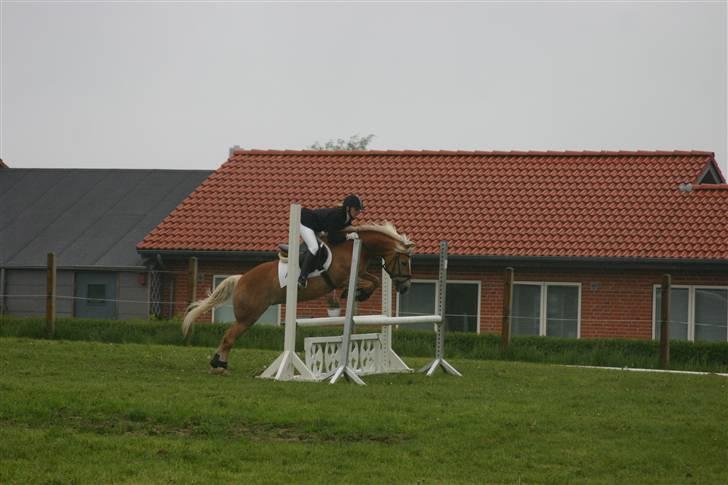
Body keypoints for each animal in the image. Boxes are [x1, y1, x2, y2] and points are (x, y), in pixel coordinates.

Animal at [182, 221, 416, 372]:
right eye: (404, 262)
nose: (405, 287)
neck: (356, 246)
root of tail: (241, 279)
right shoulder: (341, 279)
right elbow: (365, 283)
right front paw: (356, 293)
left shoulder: (360, 273)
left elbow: (374, 280)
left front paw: (360, 294)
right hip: (249, 316)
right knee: (229, 337)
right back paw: (219, 366)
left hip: (249, 316)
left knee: (228, 337)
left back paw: (218, 362)